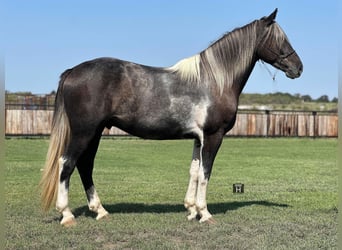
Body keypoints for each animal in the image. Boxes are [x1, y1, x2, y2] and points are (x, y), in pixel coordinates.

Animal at [39, 9, 302, 227]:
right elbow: (205, 173)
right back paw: (67, 215)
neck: (214, 81)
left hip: (95, 133)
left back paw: (100, 211)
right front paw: (205, 213)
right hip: (84, 132)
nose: (298, 68)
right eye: (280, 39)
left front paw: (192, 210)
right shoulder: (213, 136)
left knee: (85, 165)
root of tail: (73, 71)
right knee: (67, 163)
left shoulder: (198, 138)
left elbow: (194, 172)